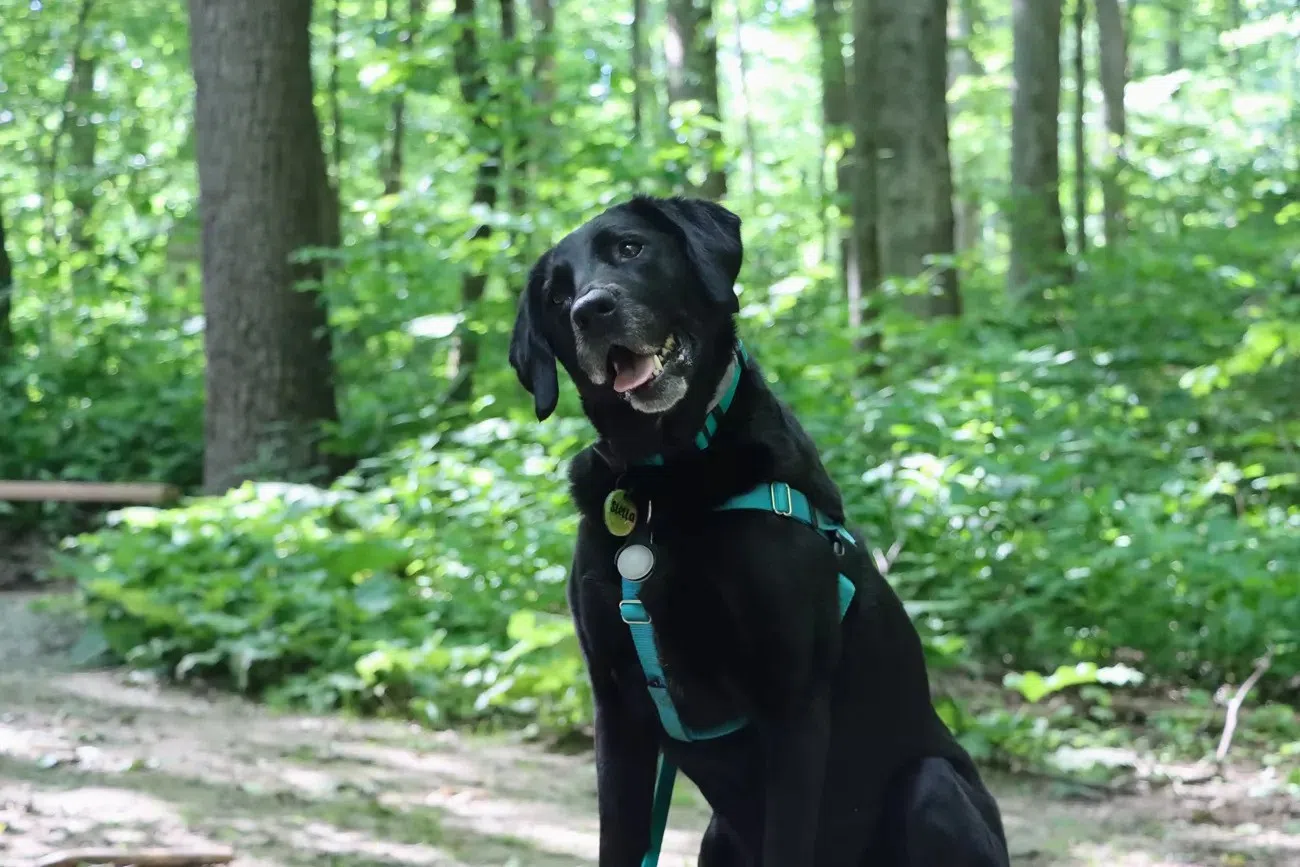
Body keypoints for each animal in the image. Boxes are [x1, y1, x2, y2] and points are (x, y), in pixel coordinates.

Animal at [506, 196, 1003, 867]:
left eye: (630, 249)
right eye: (557, 295)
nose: (591, 310)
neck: (667, 478)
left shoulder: (792, 705)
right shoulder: (617, 709)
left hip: (933, 789)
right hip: (717, 838)